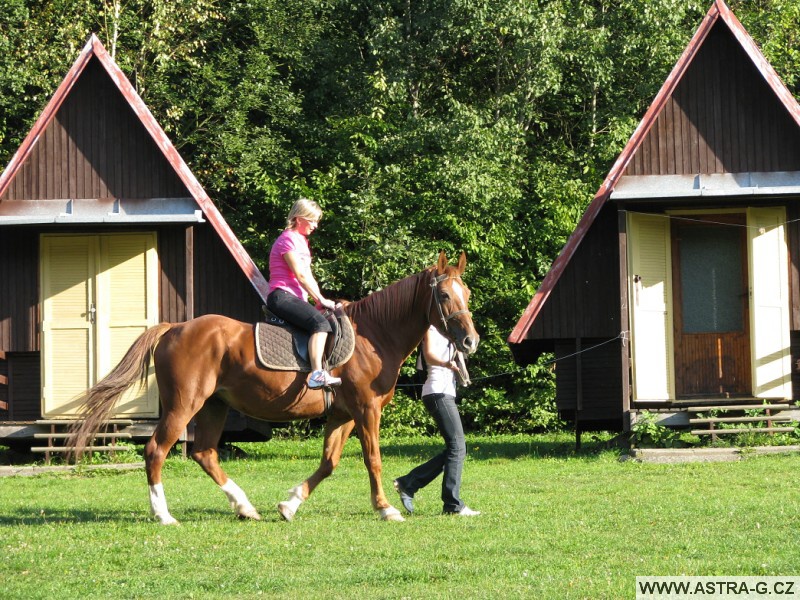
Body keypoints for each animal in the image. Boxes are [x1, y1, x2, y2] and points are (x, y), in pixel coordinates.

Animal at [67, 251, 476, 524]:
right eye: (444, 296)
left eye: (467, 294)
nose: (470, 341)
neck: (373, 335)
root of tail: (175, 327)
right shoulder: (366, 410)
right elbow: (372, 459)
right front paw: (386, 508)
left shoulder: (343, 414)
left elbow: (328, 462)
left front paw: (290, 504)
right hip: (184, 405)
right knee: (156, 451)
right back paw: (164, 515)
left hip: (214, 405)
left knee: (205, 453)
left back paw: (244, 507)